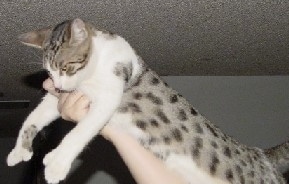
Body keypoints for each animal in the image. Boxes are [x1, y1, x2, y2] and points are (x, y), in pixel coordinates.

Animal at [5, 19, 286, 184]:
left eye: (67, 67)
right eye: (49, 72)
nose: (60, 85)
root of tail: (263, 155)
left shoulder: (109, 93)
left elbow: (80, 132)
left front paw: (57, 165)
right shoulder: (60, 97)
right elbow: (33, 118)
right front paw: (19, 151)